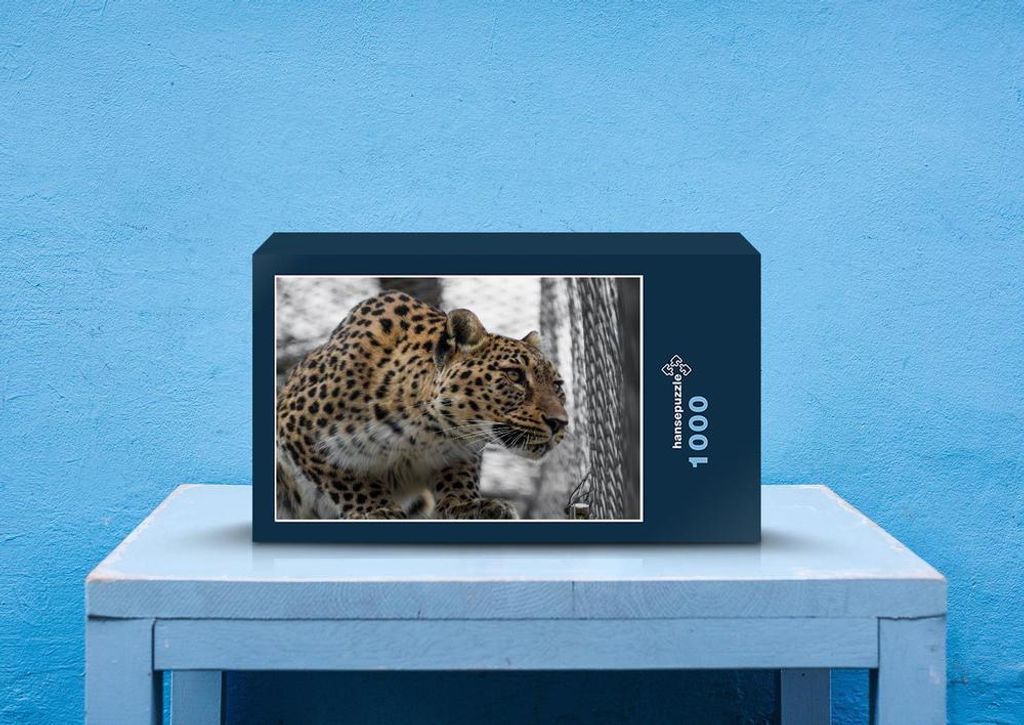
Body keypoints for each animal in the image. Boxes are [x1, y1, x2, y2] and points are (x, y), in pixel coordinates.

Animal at [275, 290, 569, 520]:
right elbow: (344, 477)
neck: (425, 431)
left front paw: (467, 505)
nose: (560, 423)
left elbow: (459, 475)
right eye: (514, 375)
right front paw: (377, 508)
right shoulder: (295, 427)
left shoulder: (460, 450)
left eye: (557, 386)